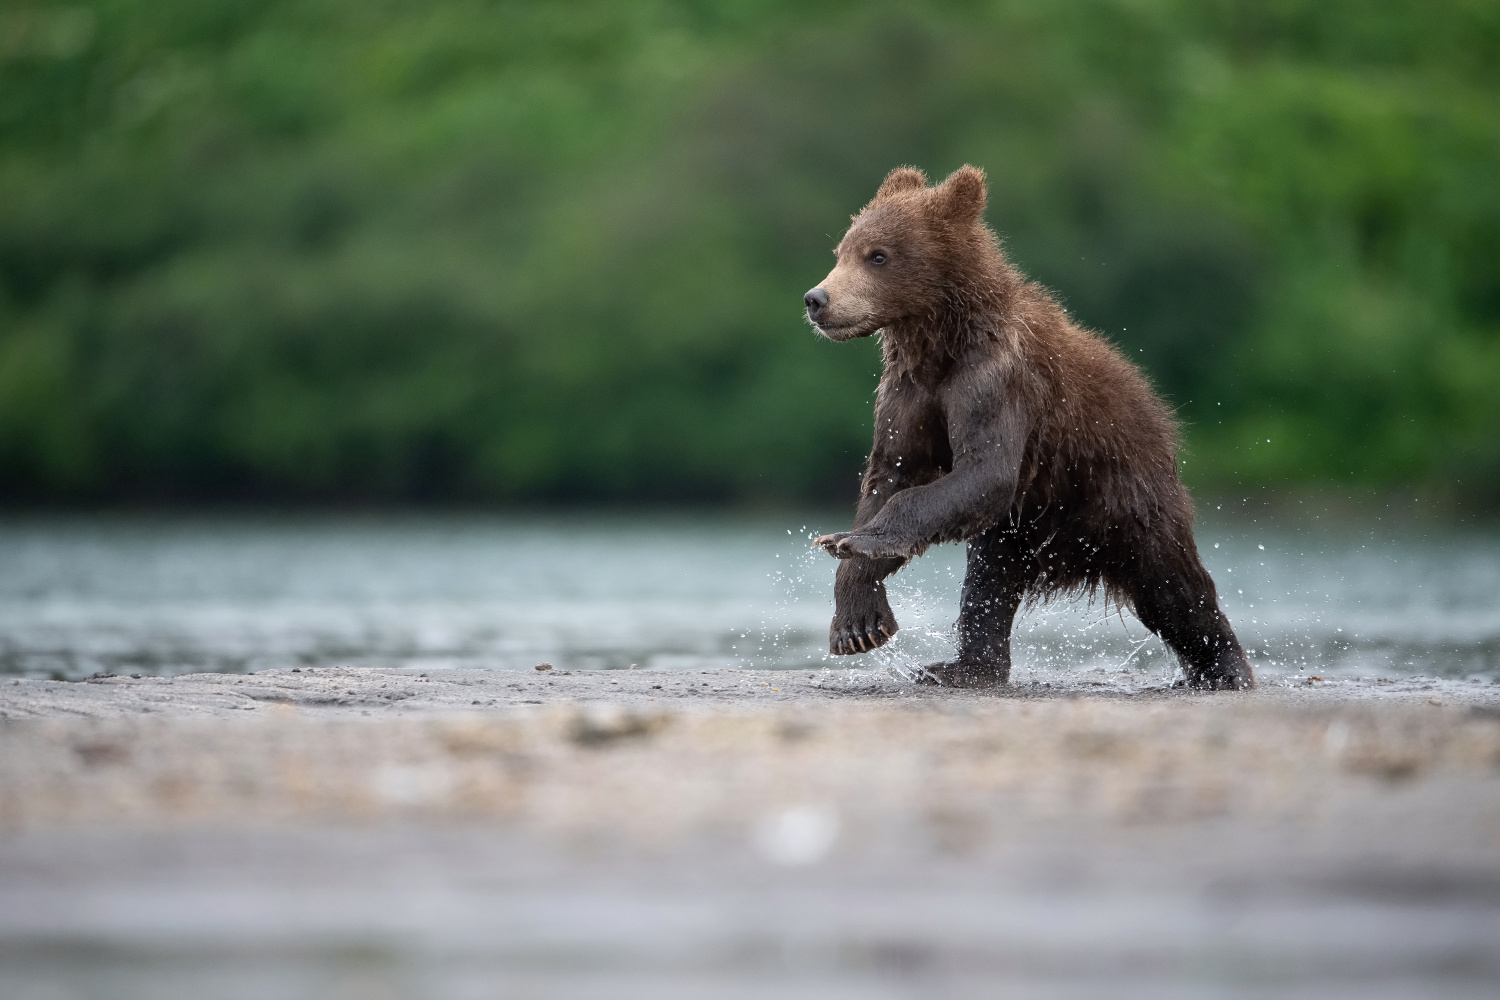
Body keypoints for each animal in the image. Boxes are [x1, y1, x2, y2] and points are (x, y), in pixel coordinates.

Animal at [810, 167, 1254, 692]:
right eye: (841, 250)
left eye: (878, 255)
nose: (817, 299)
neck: (939, 342)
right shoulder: (908, 391)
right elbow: (890, 474)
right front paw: (857, 618)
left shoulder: (996, 381)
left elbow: (983, 469)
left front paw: (853, 541)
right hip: (1021, 526)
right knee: (989, 583)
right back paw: (962, 668)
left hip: (1122, 496)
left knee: (1172, 586)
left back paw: (1225, 669)